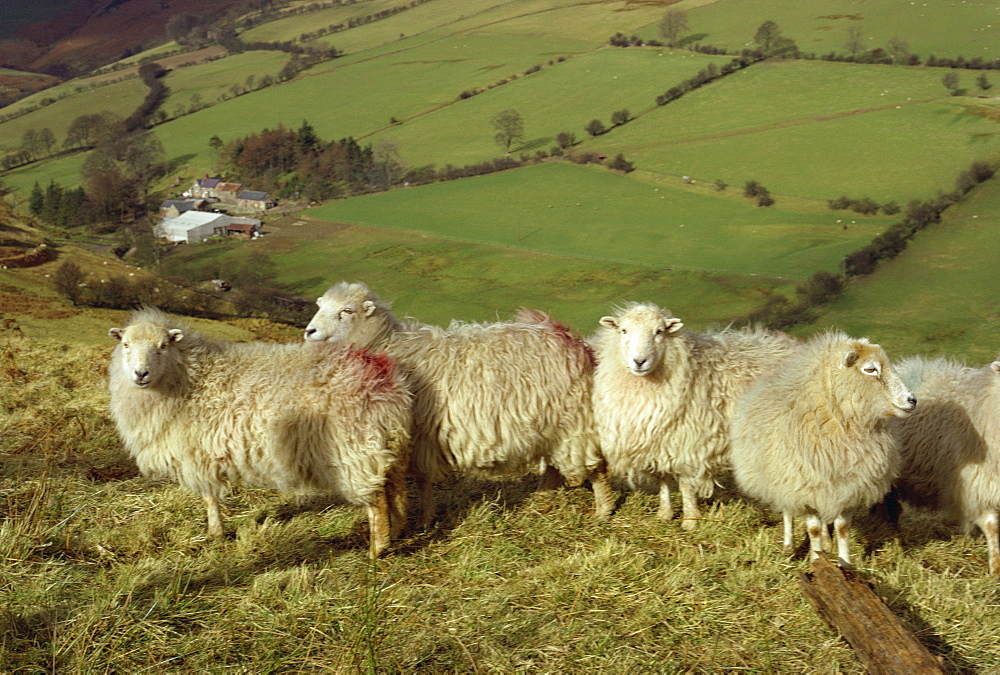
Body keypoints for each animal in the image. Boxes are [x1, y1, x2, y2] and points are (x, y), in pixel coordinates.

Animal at [105, 308, 410, 560]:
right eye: (126, 345)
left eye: (163, 346)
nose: (140, 374)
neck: (189, 378)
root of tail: (379, 373)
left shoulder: (196, 453)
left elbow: (208, 497)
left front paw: (216, 533)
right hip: (387, 441)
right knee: (394, 488)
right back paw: (397, 531)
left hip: (354, 448)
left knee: (376, 499)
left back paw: (377, 549)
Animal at [298, 282, 608, 524]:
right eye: (320, 305)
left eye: (347, 311)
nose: (310, 332)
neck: (388, 345)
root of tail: (567, 337)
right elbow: (422, 480)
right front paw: (427, 517)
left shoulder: (419, 434)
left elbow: (422, 480)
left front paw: (425, 519)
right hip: (553, 424)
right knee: (554, 464)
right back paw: (543, 495)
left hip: (573, 418)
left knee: (596, 466)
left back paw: (604, 510)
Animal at [592, 304, 796, 532]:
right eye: (623, 331)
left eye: (659, 332)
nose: (639, 362)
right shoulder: (659, 440)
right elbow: (663, 479)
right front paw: (664, 514)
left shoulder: (688, 442)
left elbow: (685, 485)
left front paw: (690, 521)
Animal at [728, 332, 916, 564]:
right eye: (870, 369)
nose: (912, 400)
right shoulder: (804, 486)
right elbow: (813, 529)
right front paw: (817, 561)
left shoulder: (849, 485)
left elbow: (842, 528)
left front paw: (845, 564)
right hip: (781, 477)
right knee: (788, 511)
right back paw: (789, 545)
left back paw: (826, 543)